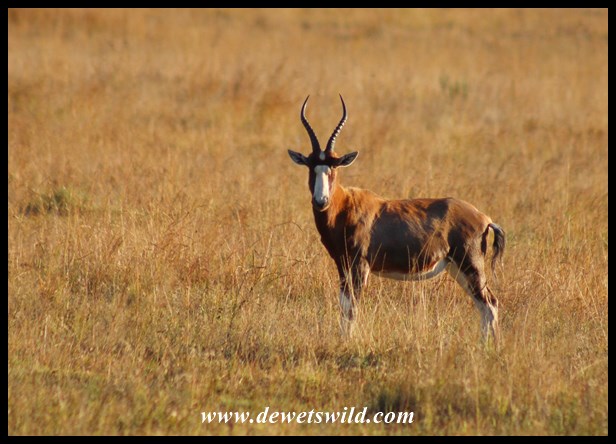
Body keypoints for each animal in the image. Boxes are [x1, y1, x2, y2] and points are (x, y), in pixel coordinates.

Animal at [287, 95, 505, 345]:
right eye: (311, 167)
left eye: (334, 167)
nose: (320, 201)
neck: (346, 205)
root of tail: (484, 219)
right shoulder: (342, 266)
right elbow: (344, 305)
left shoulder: (360, 266)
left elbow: (352, 308)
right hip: (457, 269)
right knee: (483, 305)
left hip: (471, 266)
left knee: (490, 304)